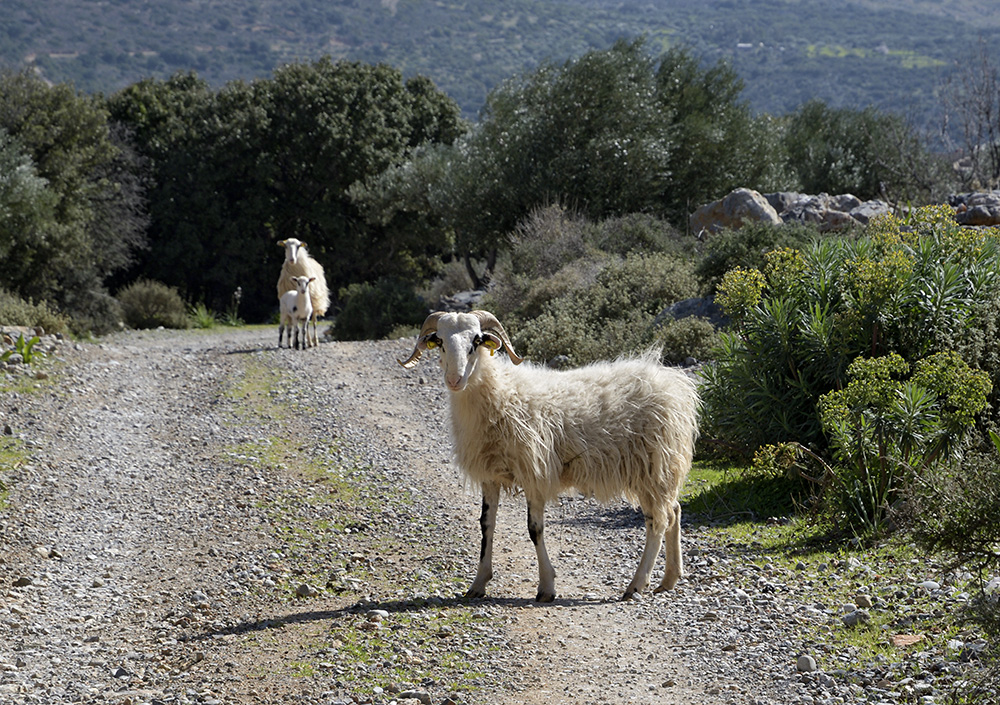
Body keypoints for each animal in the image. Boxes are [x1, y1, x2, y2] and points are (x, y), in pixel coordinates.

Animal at [394, 308, 700, 600]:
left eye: (477, 341)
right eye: (440, 341)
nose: (454, 380)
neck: (500, 392)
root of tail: (673, 383)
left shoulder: (534, 472)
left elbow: (534, 529)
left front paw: (546, 587)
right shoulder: (490, 476)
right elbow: (486, 525)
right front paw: (478, 584)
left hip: (654, 464)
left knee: (658, 522)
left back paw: (636, 585)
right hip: (656, 469)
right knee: (673, 511)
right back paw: (669, 579)